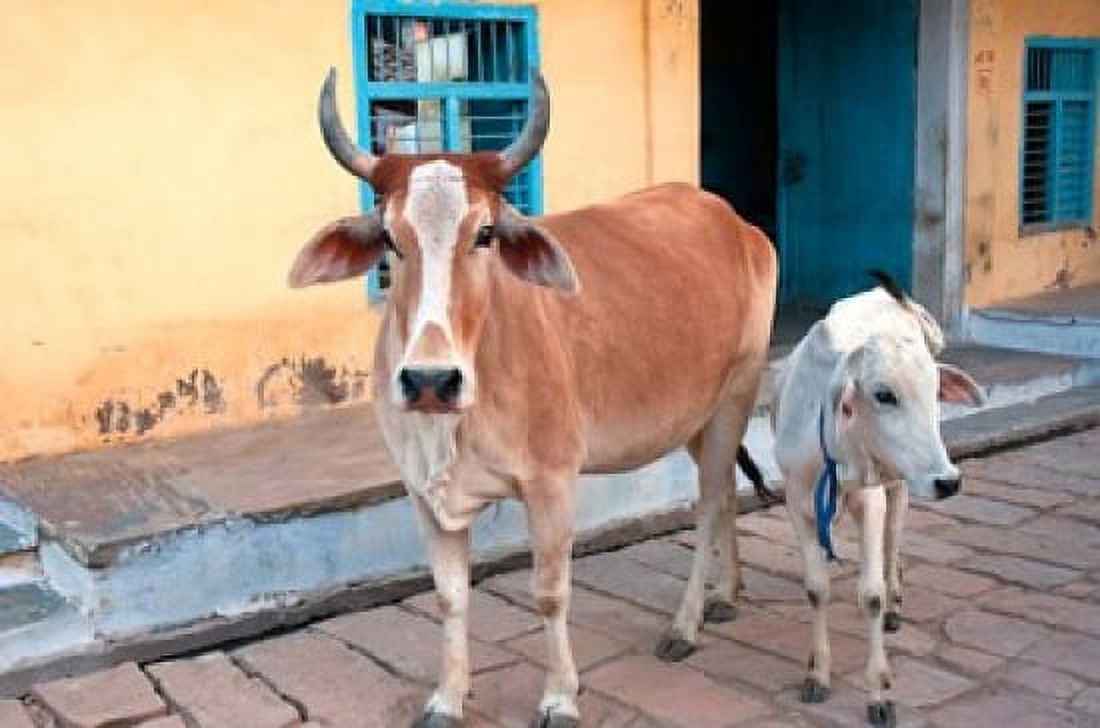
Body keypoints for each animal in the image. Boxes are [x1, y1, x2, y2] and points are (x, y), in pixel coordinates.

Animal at [288, 68, 777, 727]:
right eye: (390, 236)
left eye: (485, 234)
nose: (430, 381)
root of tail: (733, 221)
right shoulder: (421, 491)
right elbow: (449, 595)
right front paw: (448, 696)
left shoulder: (551, 482)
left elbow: (548, 593)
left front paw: (561, 697)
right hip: (698, 418)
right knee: (724, 492)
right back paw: (727, 594)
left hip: (736, 397)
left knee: (704, 506)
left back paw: (686, 624)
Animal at [769, 272, 983, 726]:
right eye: (883, 395)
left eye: (934, 392)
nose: (949, 482)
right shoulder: (796, 501)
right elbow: (816, 588)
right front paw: (817, 673)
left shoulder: (869, 498)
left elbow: (870, 594)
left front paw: (879, 693)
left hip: (898, 485)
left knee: (891, 544)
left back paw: (894, 601)